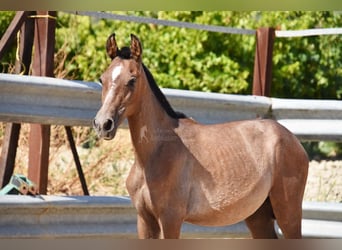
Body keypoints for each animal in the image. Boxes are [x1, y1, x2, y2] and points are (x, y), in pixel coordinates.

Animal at [92, 33, 308, 238]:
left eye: (132, 80)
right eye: (102, 79)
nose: (103, 124)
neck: (155, 154)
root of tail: (292, 139)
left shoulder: (170, 219)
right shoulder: (145, 220)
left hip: (288, 213)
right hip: (258, 217)